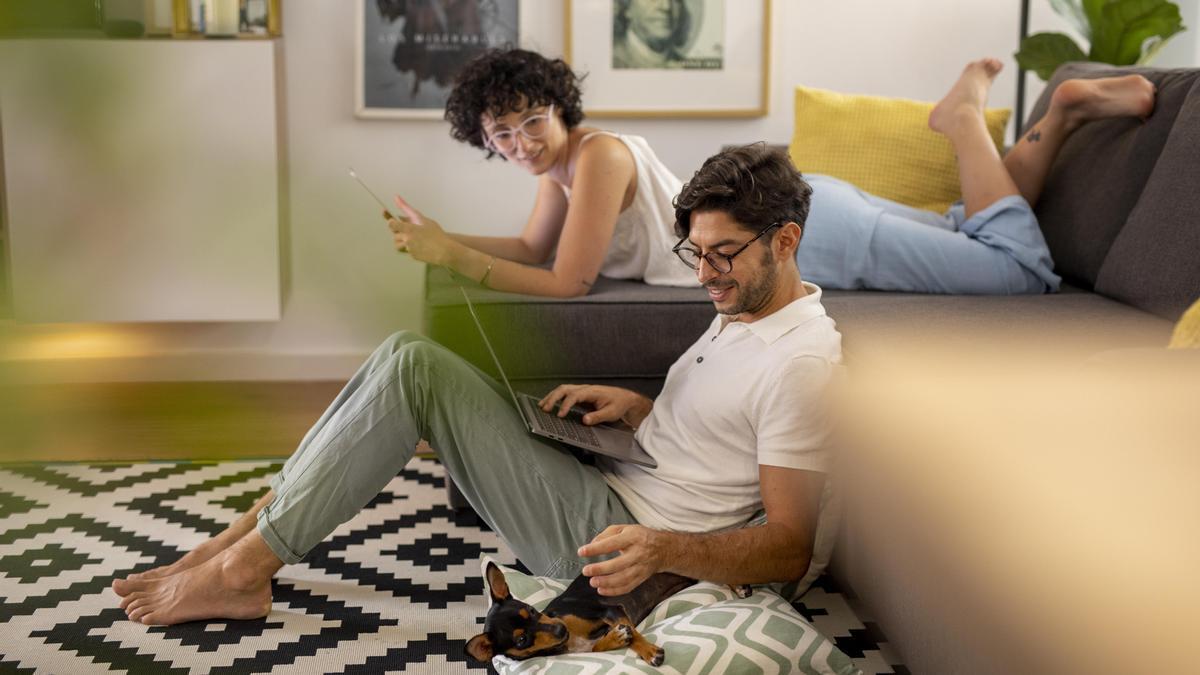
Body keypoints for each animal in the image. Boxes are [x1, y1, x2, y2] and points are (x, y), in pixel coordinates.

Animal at [468, 559, 748, 662]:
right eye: (521, 640)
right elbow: (597, 647)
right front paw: (616, 638)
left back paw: (740, 585)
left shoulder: (611, 610)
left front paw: (648, 652)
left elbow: (635, 636)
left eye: (532, 611)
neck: (569, 641)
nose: (560, 628)